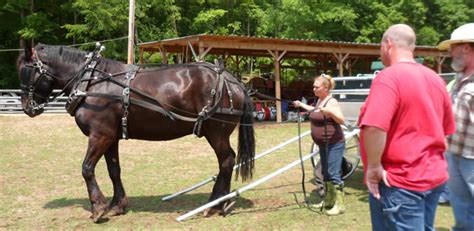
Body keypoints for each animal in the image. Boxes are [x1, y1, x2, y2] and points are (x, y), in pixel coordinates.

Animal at [17, 43, 256, 222]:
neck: (92, 82)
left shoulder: (100, 135)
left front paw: (98, 208)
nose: (27, 107)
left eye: (26, 70)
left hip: (217, 133)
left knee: (226, 161)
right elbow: (114, 170)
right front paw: (117, 205)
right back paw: (220, 202)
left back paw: (216, 205)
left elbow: (87, 169)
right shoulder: (110, 137)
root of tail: (233, 81)